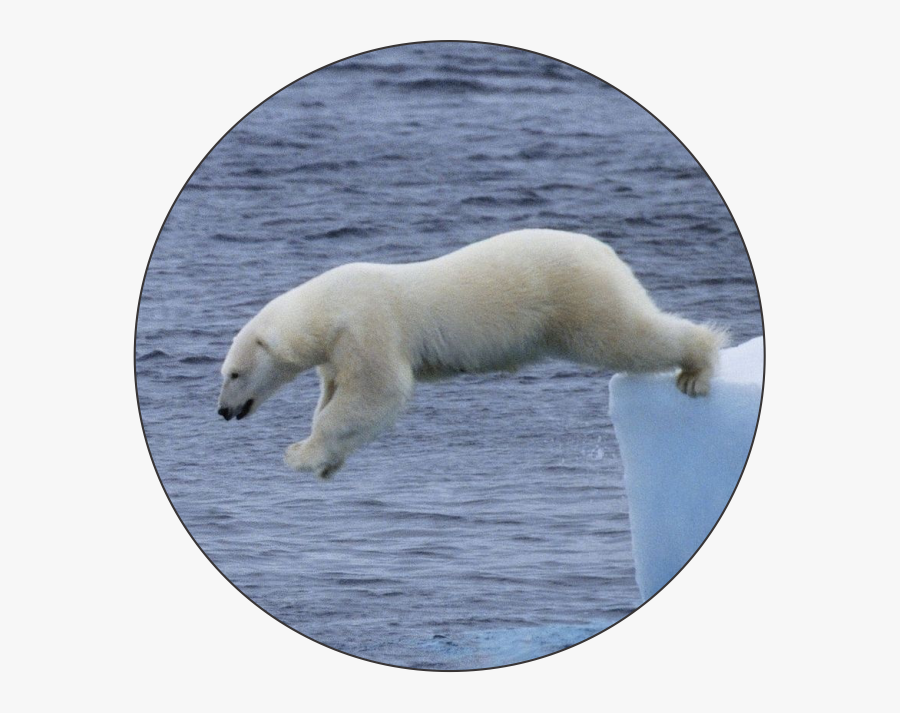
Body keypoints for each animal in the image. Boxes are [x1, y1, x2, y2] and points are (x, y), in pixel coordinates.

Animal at [217, 229, 727, 478]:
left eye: (235, 373)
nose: (222, 411)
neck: (327, 308)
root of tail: (605, 251)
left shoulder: (368, 326)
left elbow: (379, 391)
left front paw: (299, 455)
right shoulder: (338, 351)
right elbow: (340, 398)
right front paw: (326, 462)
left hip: (576, 297)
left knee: (626, 336)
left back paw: (696, 368)